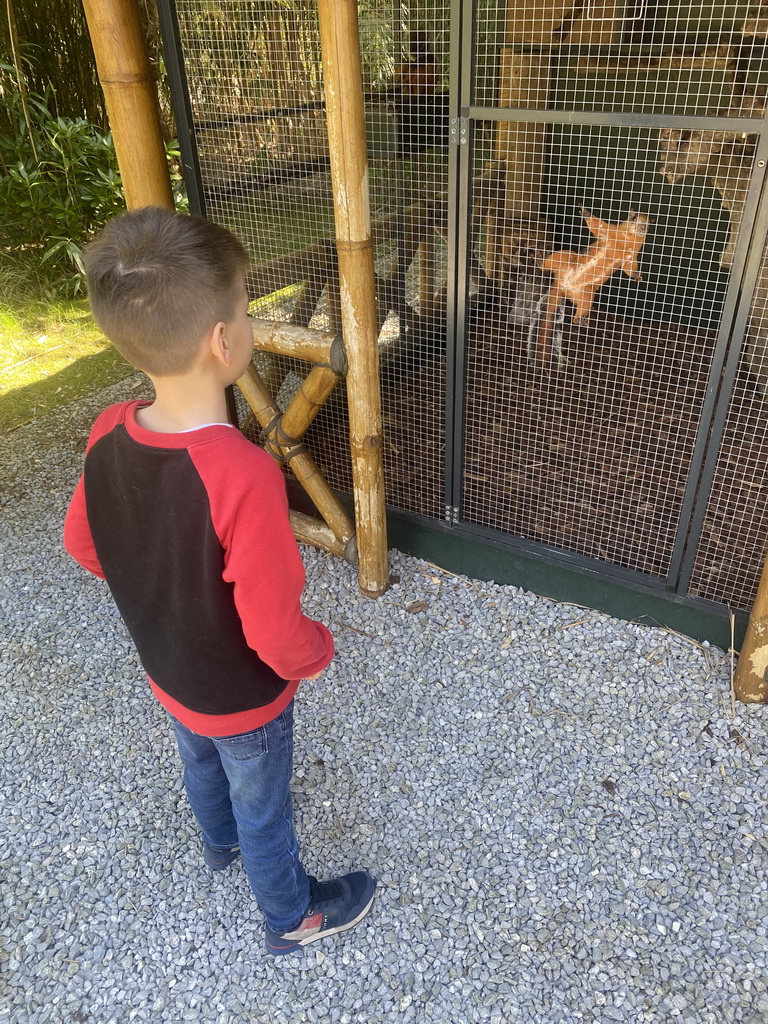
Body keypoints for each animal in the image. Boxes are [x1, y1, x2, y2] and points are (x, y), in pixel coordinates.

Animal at [532, 206, 651, 364]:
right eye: (634, 217)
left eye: (649, 223)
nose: (643, 227)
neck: (627, 239)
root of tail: (562, 285)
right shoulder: (609, 232)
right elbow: (597, 225)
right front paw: (586, 212)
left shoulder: (630, 257)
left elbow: (630, 268)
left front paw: (638, 276)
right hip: (564, 256)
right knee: (547, 264)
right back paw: (540, 261)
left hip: (586, 298)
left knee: (578, 313)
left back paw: (580, 320)